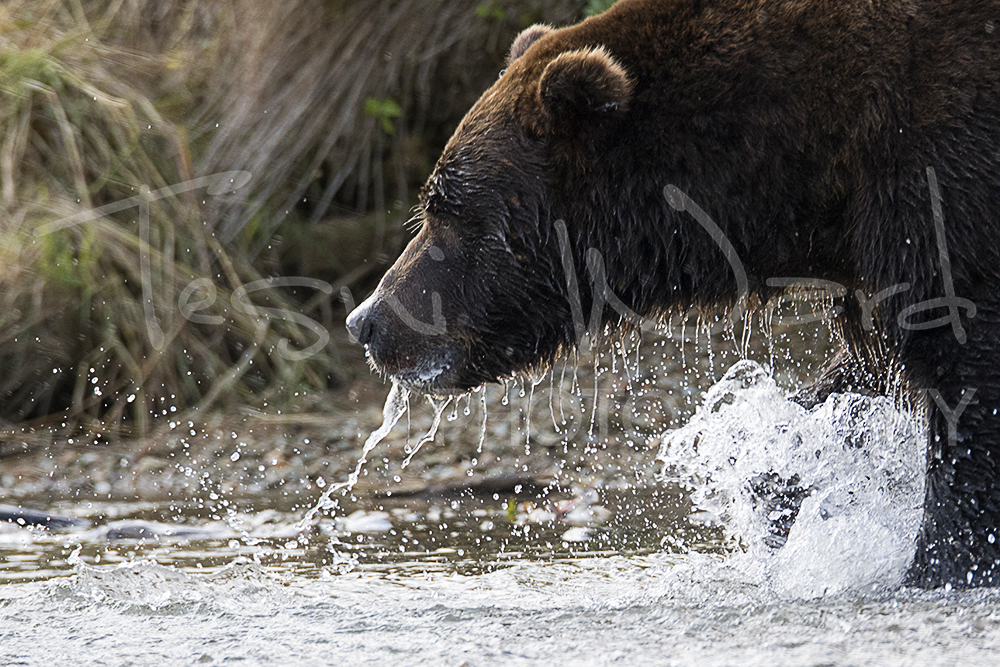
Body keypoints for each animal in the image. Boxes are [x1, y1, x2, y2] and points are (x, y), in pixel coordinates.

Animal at [346, 0, 1000, 589]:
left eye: (443, 207)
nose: (366, 320)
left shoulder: (938, 177)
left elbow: (963, 378)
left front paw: (940, 561)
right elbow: (865, 372)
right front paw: (778, 484)